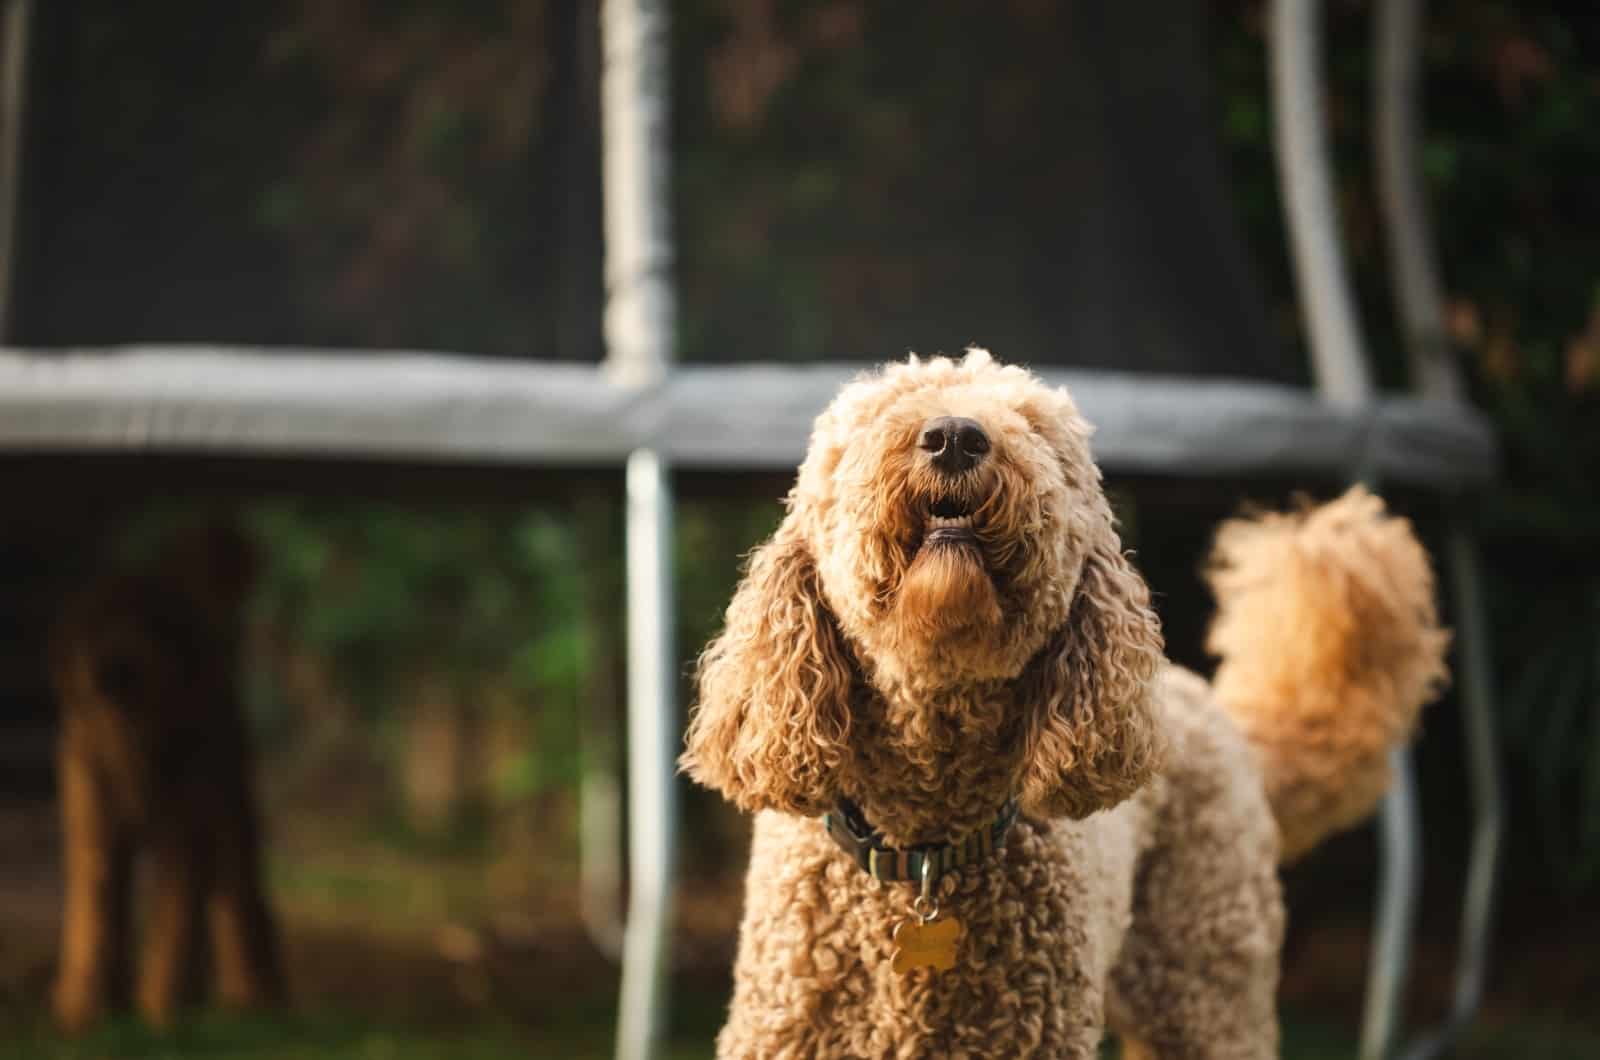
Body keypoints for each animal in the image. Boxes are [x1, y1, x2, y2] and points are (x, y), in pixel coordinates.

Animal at [47, 525, 284, 1037]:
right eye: (94, 626)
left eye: (152, 624)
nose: (114, 668)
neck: (133, 752)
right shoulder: (94, 831)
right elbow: (93, 917)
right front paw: (81, 1011)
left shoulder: (184, 834)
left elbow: (173, 925)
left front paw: (158, 1013)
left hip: (230, 815)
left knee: (239, 900)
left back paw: (252, 999)